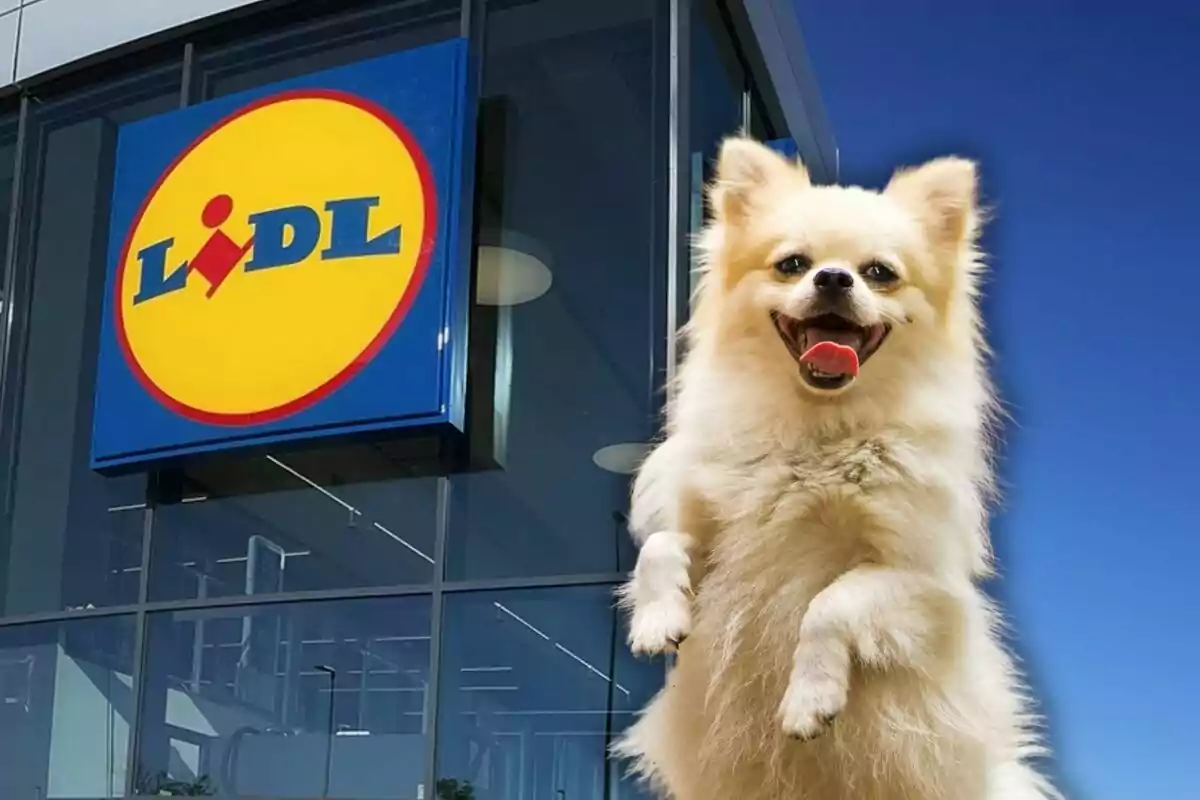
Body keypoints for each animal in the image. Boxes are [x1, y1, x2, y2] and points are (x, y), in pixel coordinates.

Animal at [619, 137, 1060, 800]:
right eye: (792, 264)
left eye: (880, 273)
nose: (832, 277)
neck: (817, 431)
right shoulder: (716, 536)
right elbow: (663, 544)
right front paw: (656, 618)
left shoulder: (918, 583)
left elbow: (832, 601)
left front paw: (810, 701)